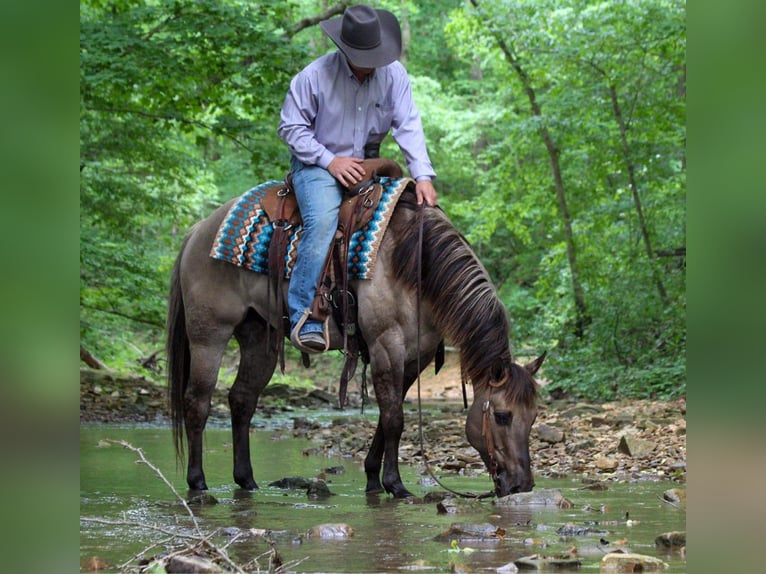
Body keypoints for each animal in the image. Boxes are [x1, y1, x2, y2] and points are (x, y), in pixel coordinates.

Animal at [168, 183, 544, 500]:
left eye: (534, 417)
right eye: (503, 416)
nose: (522, 485)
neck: (413, 264)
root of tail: (199, 230)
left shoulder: (415, 356)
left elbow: (388, 414)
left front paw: (373, 479)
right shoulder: (385, 345)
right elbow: (394, 419)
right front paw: (396, 484)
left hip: (259, 337)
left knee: (242, 400)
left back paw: (246, 480)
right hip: (209, 334)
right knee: (197, 402)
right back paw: (198, 483)